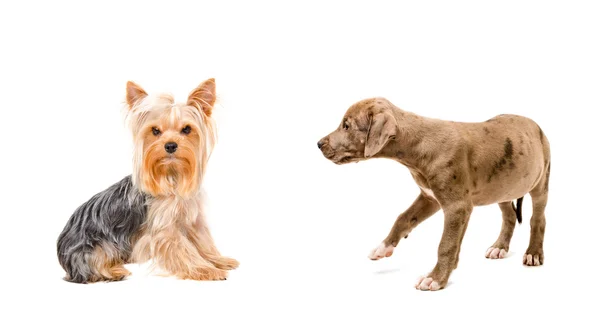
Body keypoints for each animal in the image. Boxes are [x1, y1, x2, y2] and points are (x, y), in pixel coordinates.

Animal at [56, 79, 239, 284]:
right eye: (155, 131)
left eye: (187, 129)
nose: (170, 145)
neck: (172, 176)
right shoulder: (165, 230)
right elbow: (184, 251)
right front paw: (206, 270)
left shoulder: (192, 220)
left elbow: (203, 242)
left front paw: (218, 260)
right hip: (98, 247)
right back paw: (114, 271)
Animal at [316, 98, 552, 292]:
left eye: (346, 126)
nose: (318, 144)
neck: (416, 146)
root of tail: (535, 124)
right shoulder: (430, 198)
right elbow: (403, 219)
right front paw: (383, 248)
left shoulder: (456, 207)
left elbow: (446, 244)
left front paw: (435, 278)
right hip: (503, 187)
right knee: (509, 215)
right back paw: (499, 247)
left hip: (540, 182)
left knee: (538, 218)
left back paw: (533, 253)